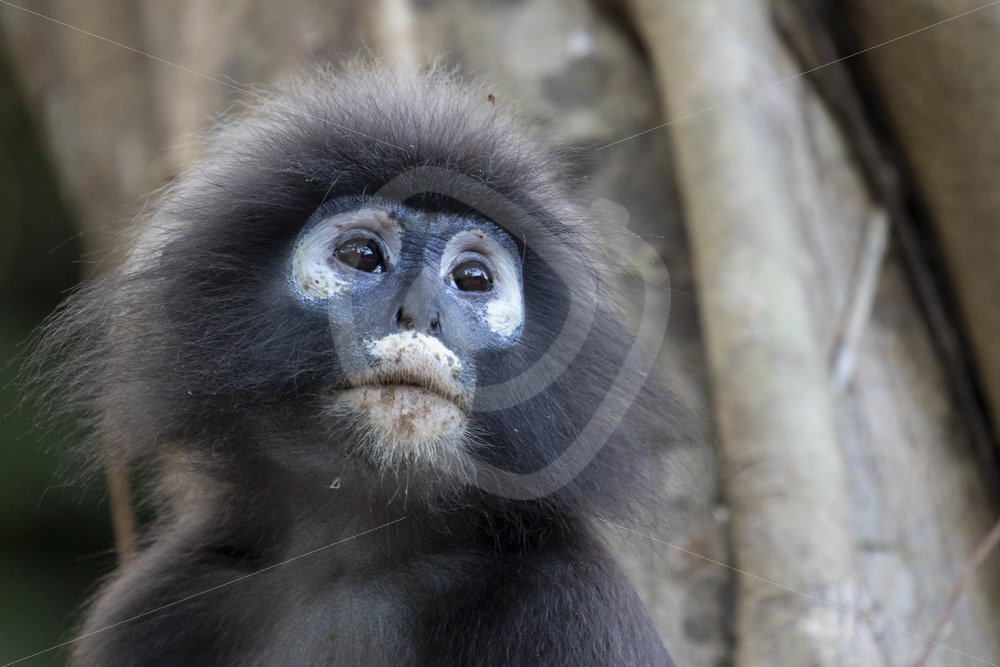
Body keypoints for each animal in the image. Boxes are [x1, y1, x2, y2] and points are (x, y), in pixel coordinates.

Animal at [35, 64, 679, 666]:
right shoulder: (158, 601)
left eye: (473, 278)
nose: (420, 314)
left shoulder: (570, 600)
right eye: (362, 256)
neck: (349, 548)